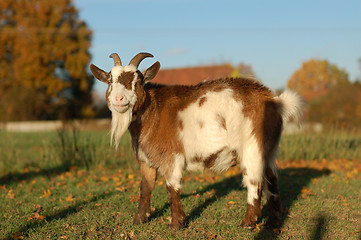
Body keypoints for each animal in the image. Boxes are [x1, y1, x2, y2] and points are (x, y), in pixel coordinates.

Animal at [89, 52, 300, 229]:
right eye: (109, 80)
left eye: (138, 81)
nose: (118, 99)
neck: (153, 111)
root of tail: (275, 101)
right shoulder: (145, 160)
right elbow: (145, 188)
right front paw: (140, 220)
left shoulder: (172, 158)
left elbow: (172, 187)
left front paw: (176, 224)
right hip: (269, 150)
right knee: (271, 179)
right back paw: (273, 221)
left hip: (252, 147)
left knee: (254, 182)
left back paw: (248, 223)